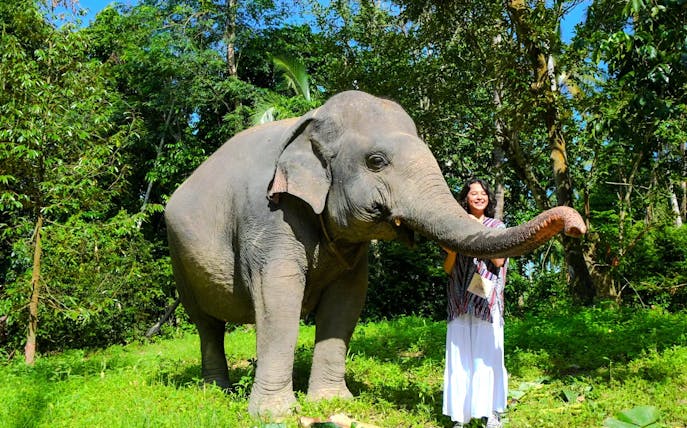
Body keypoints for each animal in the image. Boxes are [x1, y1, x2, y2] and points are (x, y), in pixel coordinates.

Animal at [164, 90, 586, 417]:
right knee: (207, 324)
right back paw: (217, 391)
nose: (577, 225)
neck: (310, 120)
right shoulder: (267, 214)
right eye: (376, 162)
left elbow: (347, 300)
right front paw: (275, 415)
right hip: (178, 256)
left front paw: (331, 402)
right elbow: (279, 295)